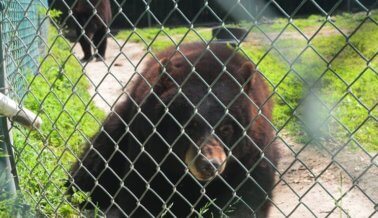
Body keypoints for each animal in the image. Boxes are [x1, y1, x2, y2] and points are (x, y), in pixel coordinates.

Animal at [67, 42, 278, 216]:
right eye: (190, 125)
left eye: (226, 128)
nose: (210, 164)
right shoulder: (148, 145)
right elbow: (143, 190)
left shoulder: (252, 152)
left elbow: (248, 194)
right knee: (95, 161)